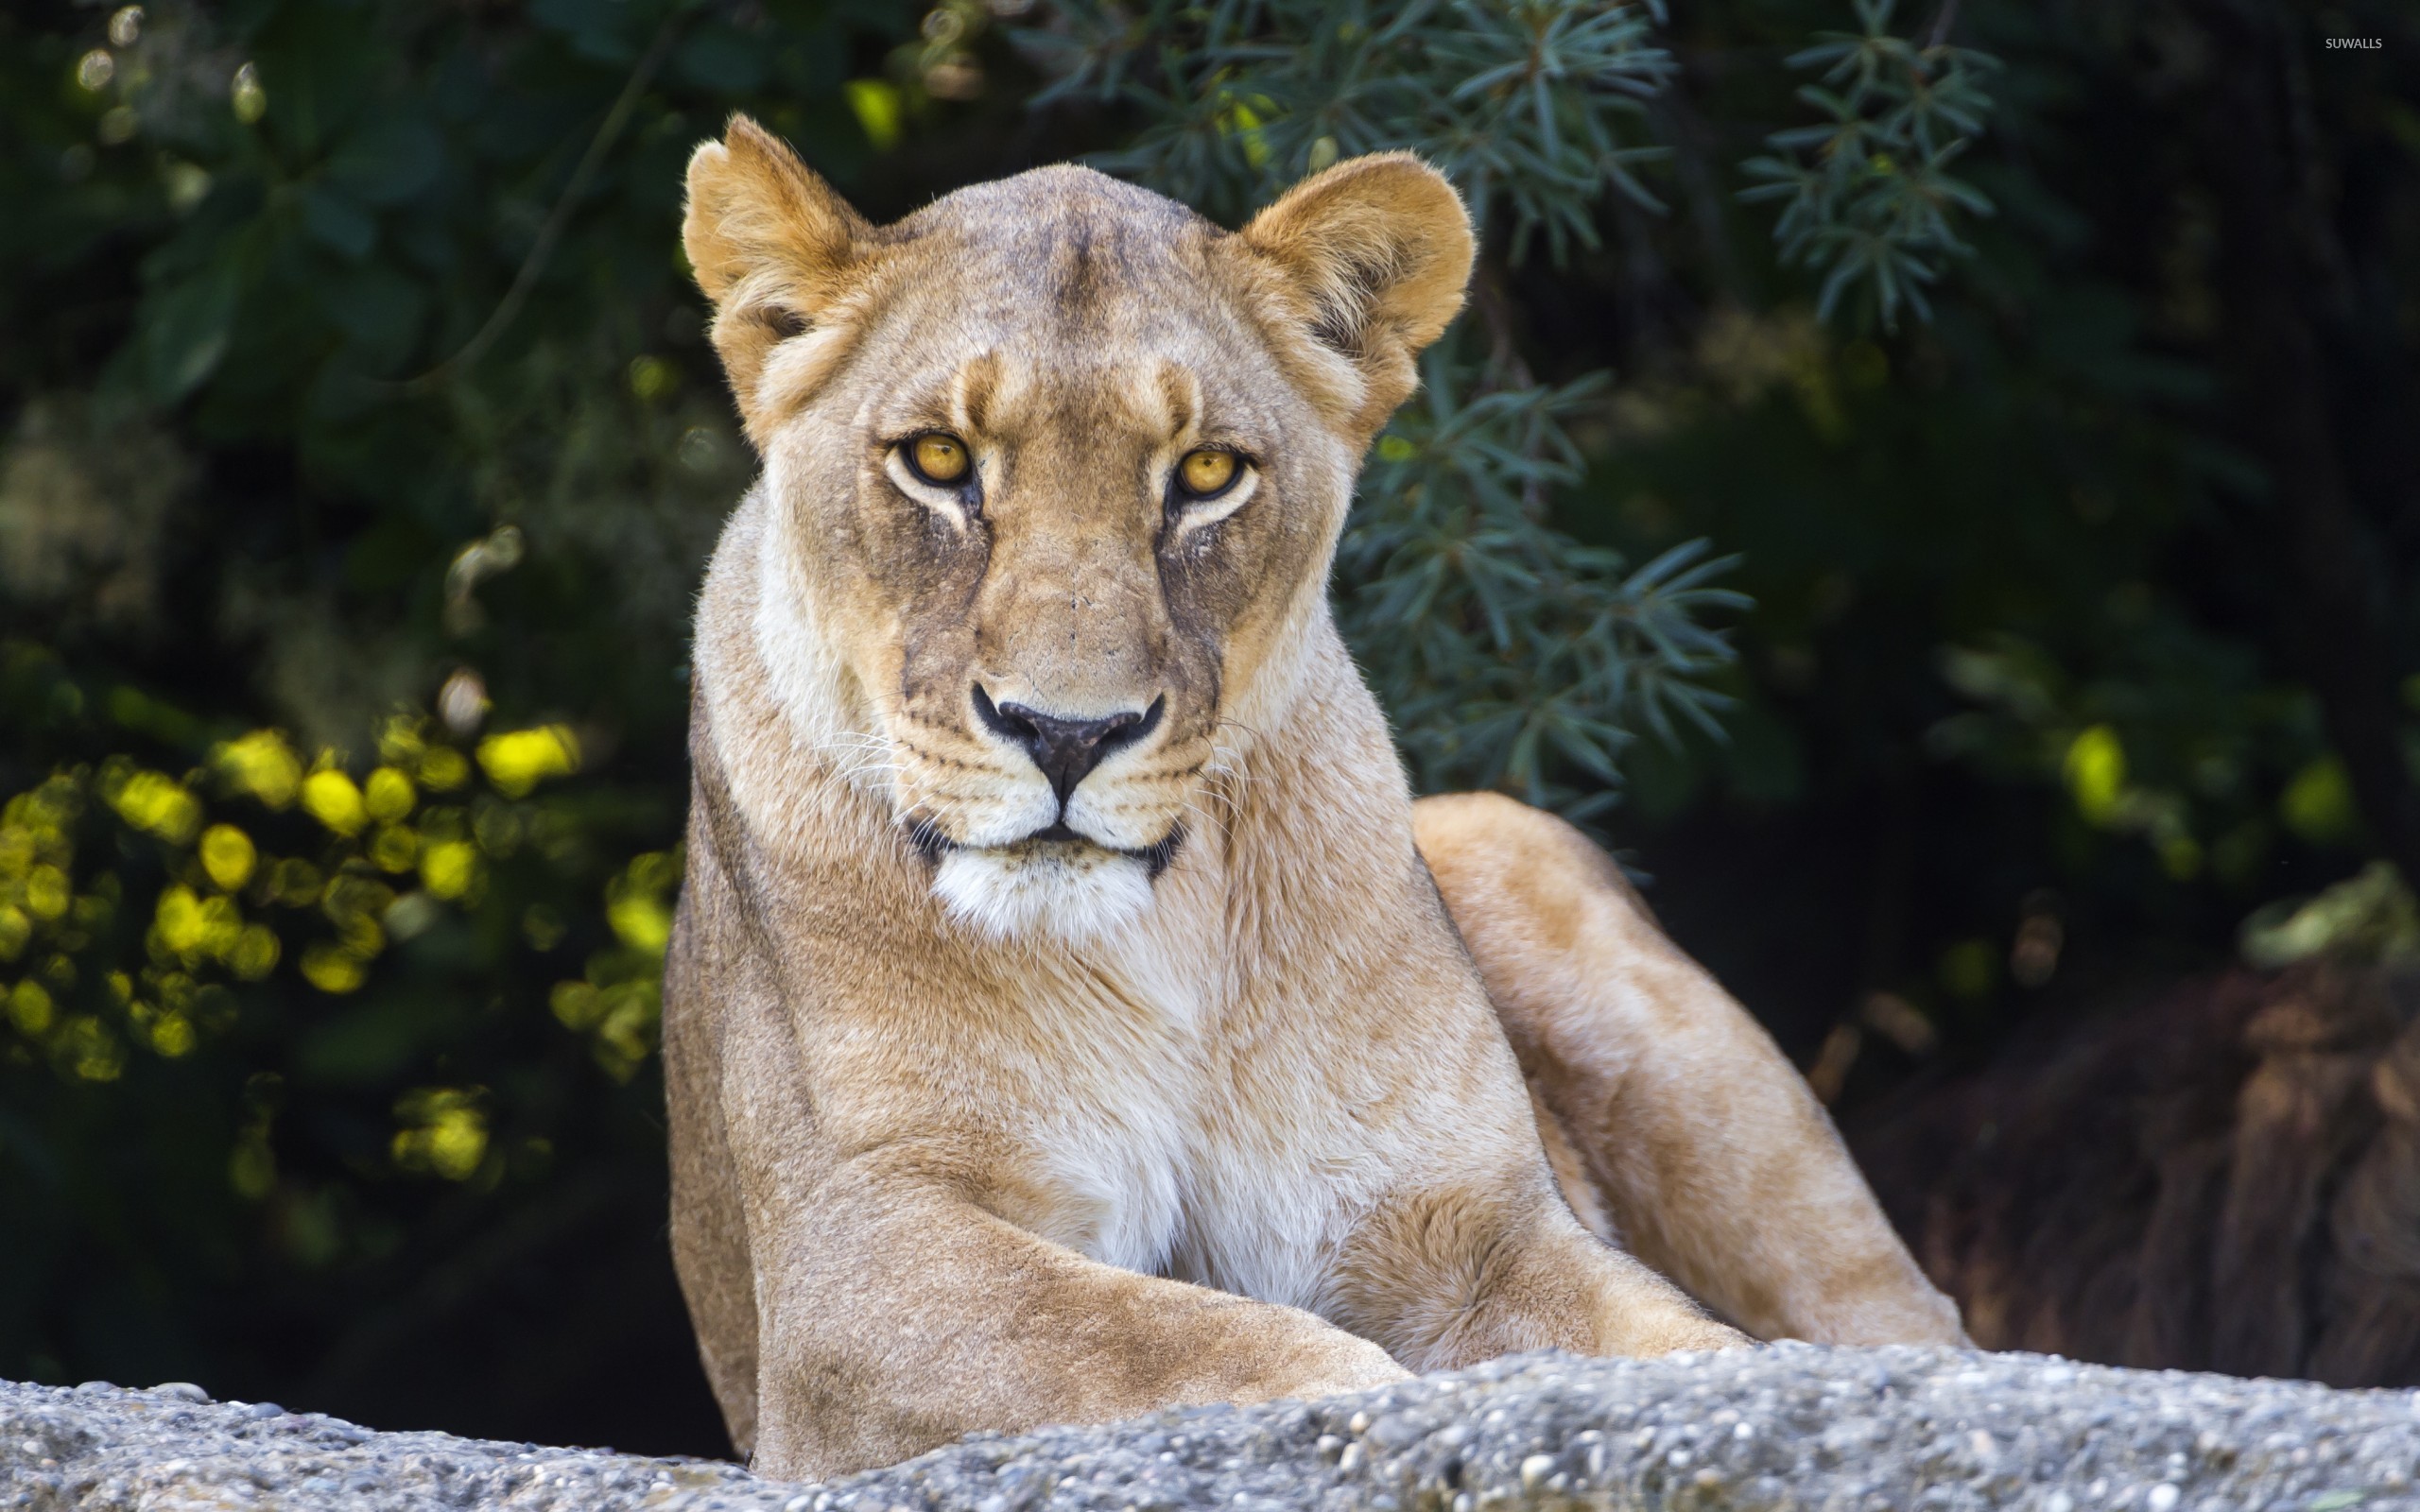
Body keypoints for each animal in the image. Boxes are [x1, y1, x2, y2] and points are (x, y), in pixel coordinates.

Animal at [663, 116, 1966, 1480]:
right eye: (936, 460)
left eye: (1206, 472)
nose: (1068, 734)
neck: (1155, 937)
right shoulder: (853, 1267)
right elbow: (1186, 1339)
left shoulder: (1472, 1224)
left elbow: (1686, 1349)